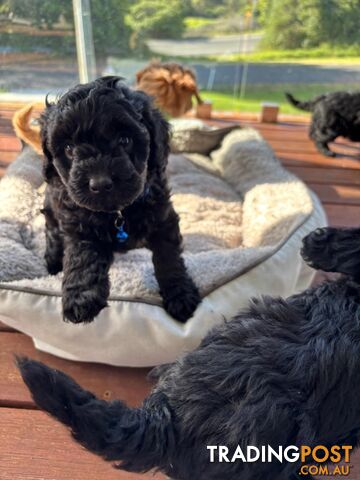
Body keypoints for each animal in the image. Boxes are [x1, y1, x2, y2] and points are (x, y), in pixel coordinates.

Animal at [41, 76, 201, 322]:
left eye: (125, 140)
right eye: (68, 148)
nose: (99, 183)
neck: (119, 212)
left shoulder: (163, 217)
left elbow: (168, 257)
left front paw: (180, 294)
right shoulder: (79, 225)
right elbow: (82, 257)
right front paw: (80, 299)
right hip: (51, 210)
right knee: (53, 234)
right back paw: (53, 263)